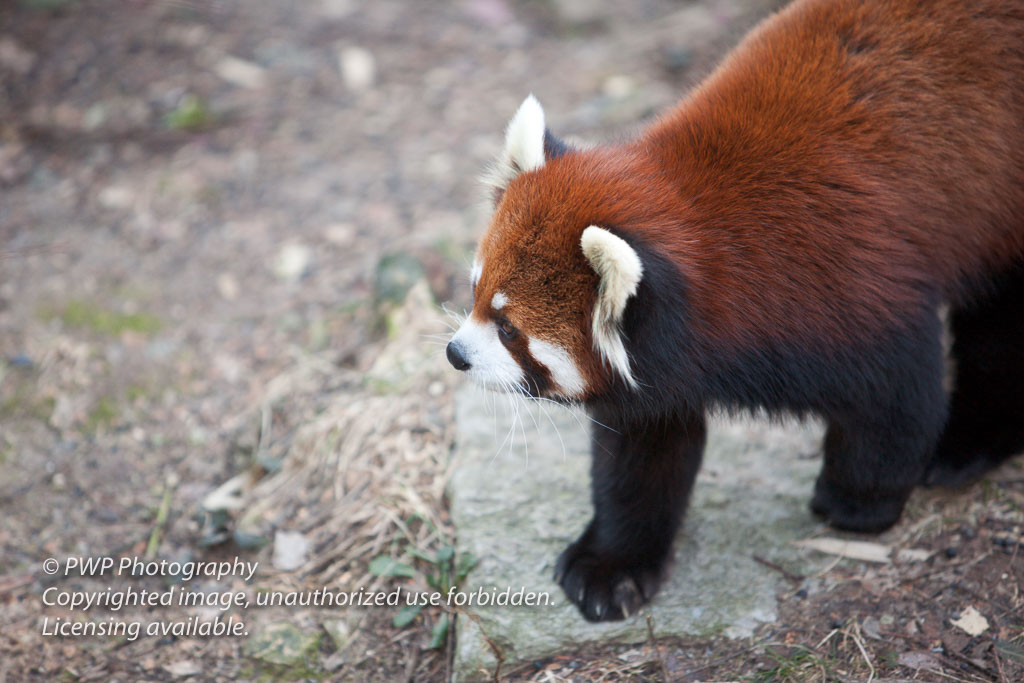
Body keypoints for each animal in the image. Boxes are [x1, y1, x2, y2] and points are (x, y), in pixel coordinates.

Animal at [444, 0, 1019, 622]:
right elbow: (643, 455)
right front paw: (613, 563)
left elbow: (895, 401)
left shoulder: (857, 291)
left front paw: (857, 502)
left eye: (509, 329)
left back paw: (966, 446)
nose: (455, 354)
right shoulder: (665, 366)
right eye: (475, 294)